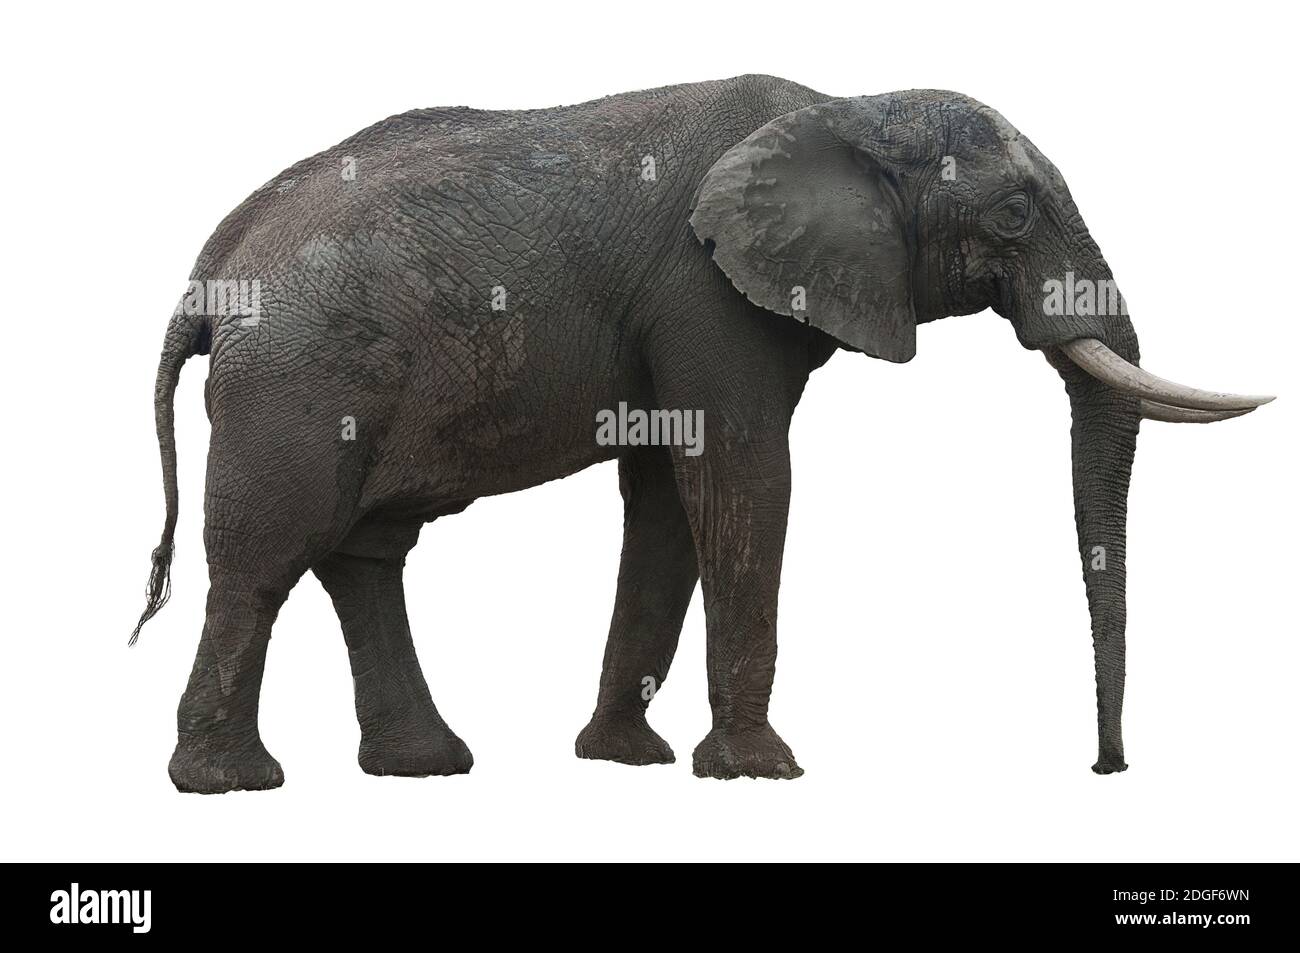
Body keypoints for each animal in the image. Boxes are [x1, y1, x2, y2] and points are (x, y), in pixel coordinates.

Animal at [135, 75, 1273, 793]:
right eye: (1013, 217)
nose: (1106, 767)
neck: (849, 111)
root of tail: (211, 268)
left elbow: (668, 503)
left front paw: (625, 761)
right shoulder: (706, 295)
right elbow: (740, 480)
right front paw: (760, 773)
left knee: (364, 552)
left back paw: (425, 767)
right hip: (296, 377)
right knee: (270, 554)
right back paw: (231, 785)